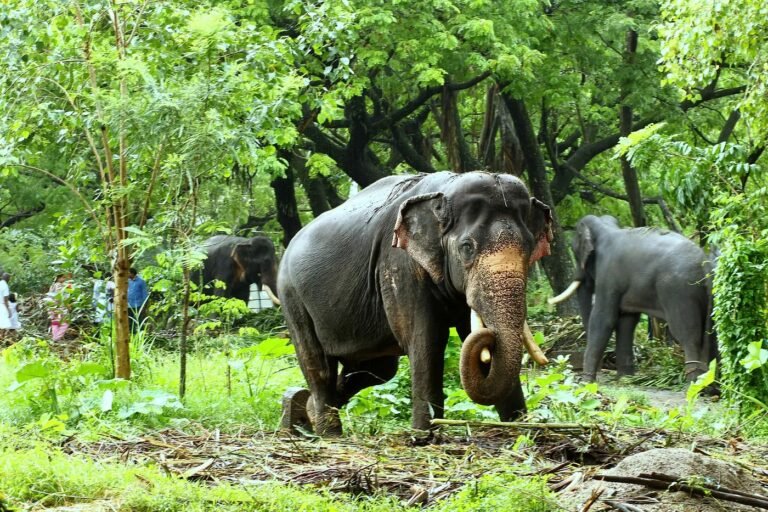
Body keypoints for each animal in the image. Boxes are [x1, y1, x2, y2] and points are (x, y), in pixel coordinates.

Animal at [278, 171, 553, 435]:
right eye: (467, 247)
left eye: (530, 247)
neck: (445, 189)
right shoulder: (399, 264)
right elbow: (426, 339)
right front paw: (424, 436)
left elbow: (466, 333)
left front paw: (521, 430)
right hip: (291, 295)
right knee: (318, 365)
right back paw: (327, 432)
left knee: (376, 370)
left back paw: (302, 410)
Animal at [549, 215, 716, 384]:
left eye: (575, 252)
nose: (588, 377)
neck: (605, 227)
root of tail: (705, 264)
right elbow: (626, 321)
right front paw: (625, 379)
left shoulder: (608, 275)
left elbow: (603, 319)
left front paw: (586, 382)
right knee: (710, 332)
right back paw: (708, 383)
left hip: (679, 291)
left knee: (687, 334)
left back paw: (693, 383)